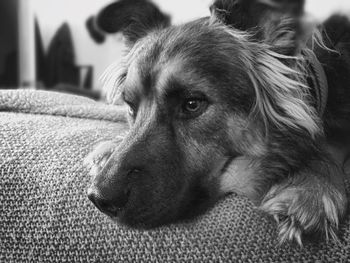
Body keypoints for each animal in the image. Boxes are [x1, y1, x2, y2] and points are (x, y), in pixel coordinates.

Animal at [85, 0, 350, 248]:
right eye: (130, 106)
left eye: (192, 103)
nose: (99, 198)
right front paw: (109, 147)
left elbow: (328, 146)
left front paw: (310, 189)